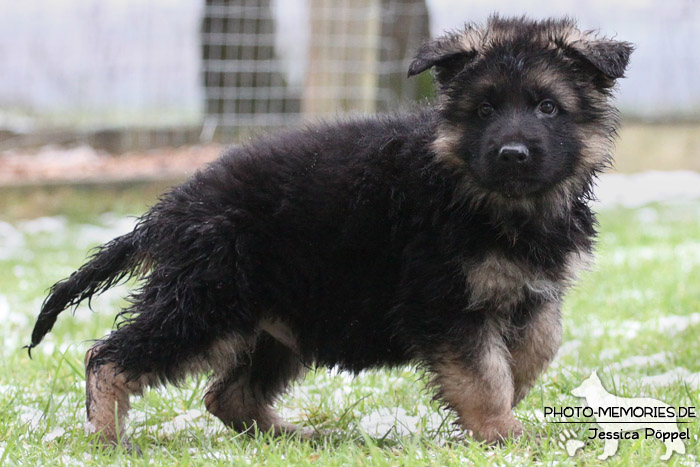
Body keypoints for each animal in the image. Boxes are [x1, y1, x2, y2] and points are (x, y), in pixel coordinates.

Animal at [27, 15, 632, 446]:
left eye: (548, 107)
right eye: (484, 109)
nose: (512, 153)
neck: (490, 200)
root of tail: (173, 209)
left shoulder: (534, 290)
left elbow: (538, 346)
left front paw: (514, 397)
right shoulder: (442, 301)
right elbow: (484, 373)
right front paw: (499, 429)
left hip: (274, 320)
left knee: (227, 396)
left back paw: (295, 436)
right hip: (208, 303)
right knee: (107, 357)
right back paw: (109, 437)